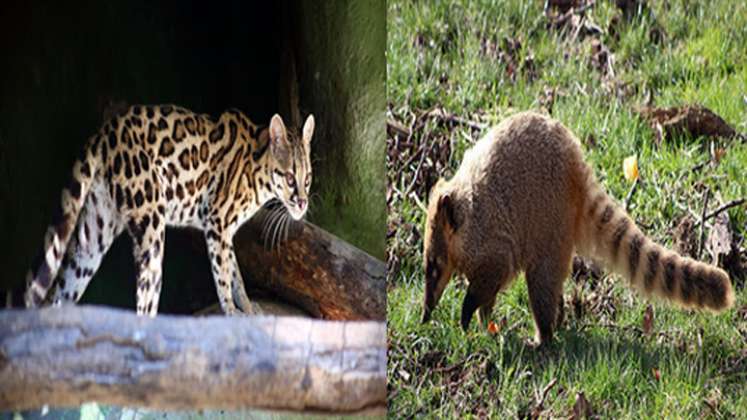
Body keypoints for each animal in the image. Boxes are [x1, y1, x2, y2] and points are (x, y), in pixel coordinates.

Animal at [24, 105, 314, 316]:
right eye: (290, 178)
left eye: (308, 178)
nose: (302, 203)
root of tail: (105, 132)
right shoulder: (217, 223)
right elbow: (222, 276)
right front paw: (232, 313)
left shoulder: (225, 233)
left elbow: (235, 274)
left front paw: (248, 307)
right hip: (152, 229)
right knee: (144, 305)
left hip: (92, 238)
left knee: (57, 294)